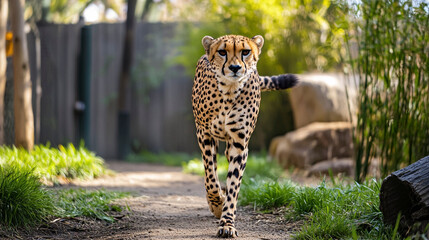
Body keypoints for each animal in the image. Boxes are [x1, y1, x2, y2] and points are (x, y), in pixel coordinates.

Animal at [191, 34, 298, 237]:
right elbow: (210, 176)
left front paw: (227, 223)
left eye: (246, 52)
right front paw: (217, 204)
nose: (235, 67)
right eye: (222, 52)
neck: (229, 90)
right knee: (212, 171)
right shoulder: (204, 134)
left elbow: (233, 183)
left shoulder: (239, 144)